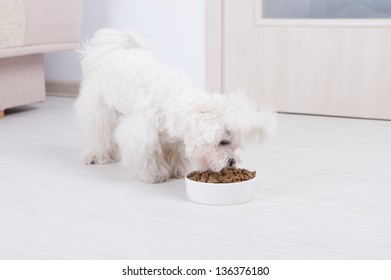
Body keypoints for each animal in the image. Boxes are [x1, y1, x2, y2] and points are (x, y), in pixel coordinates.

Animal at [76, 29, 278, 184]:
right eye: (223, 142)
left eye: (235, 146)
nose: (232, 162)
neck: (179, 100)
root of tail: (115, 51)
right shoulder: (142, 132)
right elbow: (147, 155)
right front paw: (155, 175)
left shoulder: (175, 138)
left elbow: (176, 155)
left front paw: (178, 171)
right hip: (100, 108)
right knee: (99, 133)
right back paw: (97, 156)